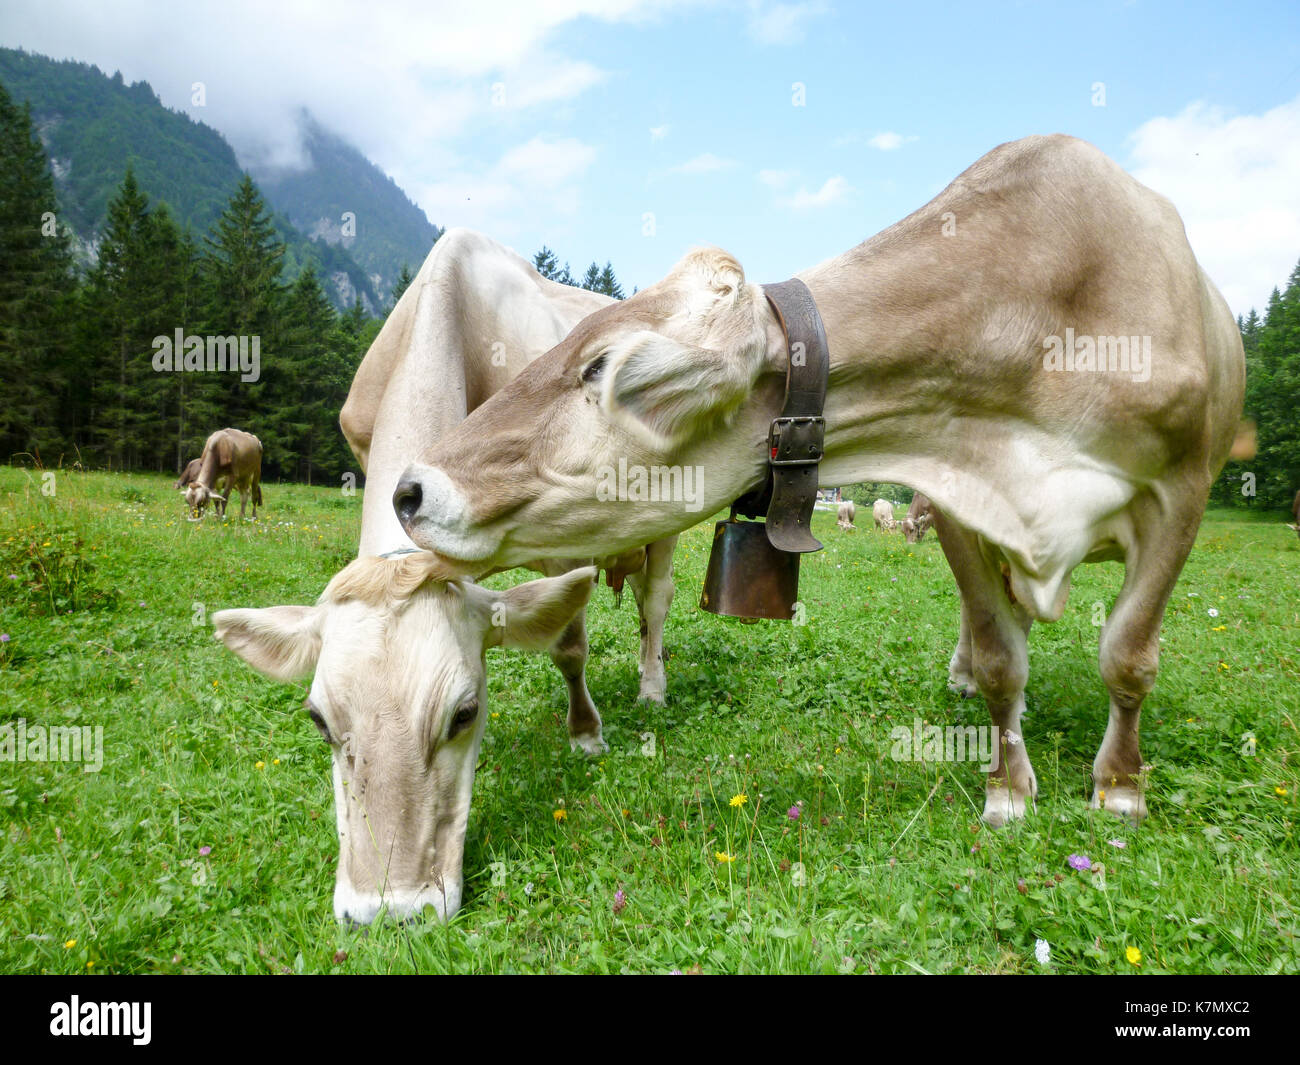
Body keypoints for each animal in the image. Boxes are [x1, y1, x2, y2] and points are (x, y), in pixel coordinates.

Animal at [213, 229, 679, 924]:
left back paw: (652, 685)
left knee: (655, 603)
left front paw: (586, 734)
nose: (388, 911)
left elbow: (569, 645)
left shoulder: (562, 535)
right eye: (318, 720)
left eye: (464, 714)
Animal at [392, 135, 1248, 829]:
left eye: (599, 367)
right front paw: (1008, 785)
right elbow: (1001, 654)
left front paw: (1121, 787)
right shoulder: (958, 496)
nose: (410, 488)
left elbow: (1129, 656)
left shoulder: (1184, 493)